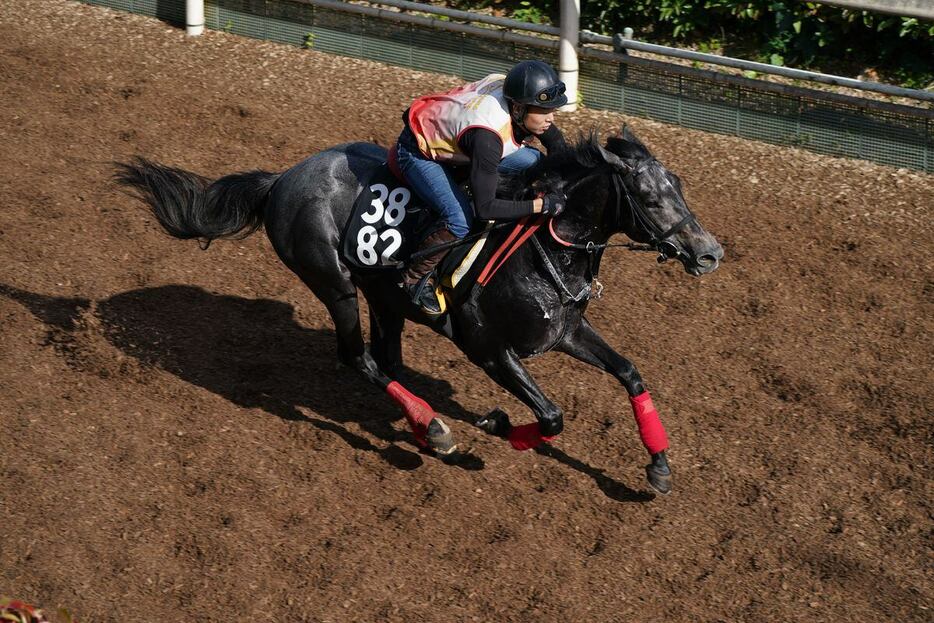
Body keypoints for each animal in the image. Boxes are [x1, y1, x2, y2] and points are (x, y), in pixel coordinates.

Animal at [111, 129, 724, 494]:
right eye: (651, 198)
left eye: (680, 187)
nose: (709, 253)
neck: (543, 245)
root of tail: (280, 179)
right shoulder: (487, 349)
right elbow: (552, 417)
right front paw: (498, 423)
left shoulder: (565, 332)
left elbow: (629, 373)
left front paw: (659, 466)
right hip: (334, 284)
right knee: (357, 358)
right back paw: (436, 430)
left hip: (383, 296)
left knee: (386, 359)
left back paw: (424, 424)